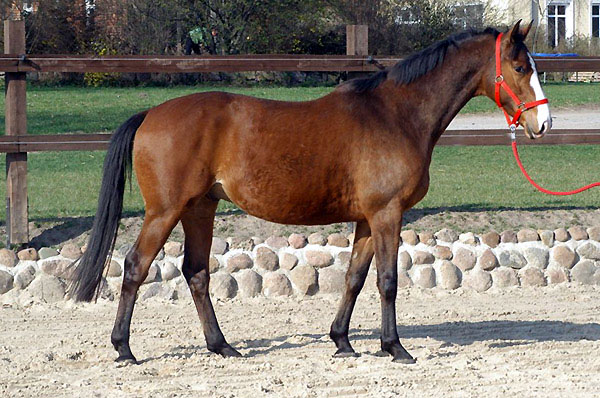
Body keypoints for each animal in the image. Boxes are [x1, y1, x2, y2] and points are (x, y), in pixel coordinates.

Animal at [68, 21, 552, 364]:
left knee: (197, 274)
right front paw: (395, 347)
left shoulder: (367, 219)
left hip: (199, 209)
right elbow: (388, 281)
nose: (543, 123)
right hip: (164, 211)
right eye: (521, 68)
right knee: (136, 267)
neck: (396, 114)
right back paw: (124, 348)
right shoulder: (387, 214)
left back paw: (222, 346)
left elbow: (355, 278)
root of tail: (151, 114)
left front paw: (343, 342)